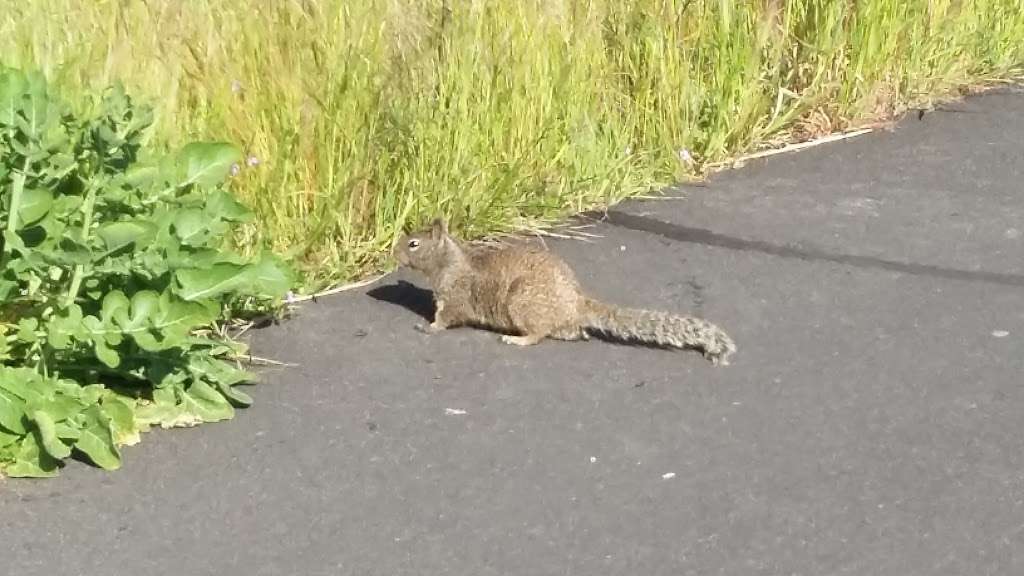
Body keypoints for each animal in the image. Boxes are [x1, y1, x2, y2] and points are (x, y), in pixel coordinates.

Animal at [391, 217, 737, 364]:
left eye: (413, 243)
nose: (393, 253)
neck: (450, 261)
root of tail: (576, 303)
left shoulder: (455, 297)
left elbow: (447, 317)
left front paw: (428, 327)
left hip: (521, 303)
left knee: (539, 333)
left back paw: (517, 339)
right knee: (570, 332)